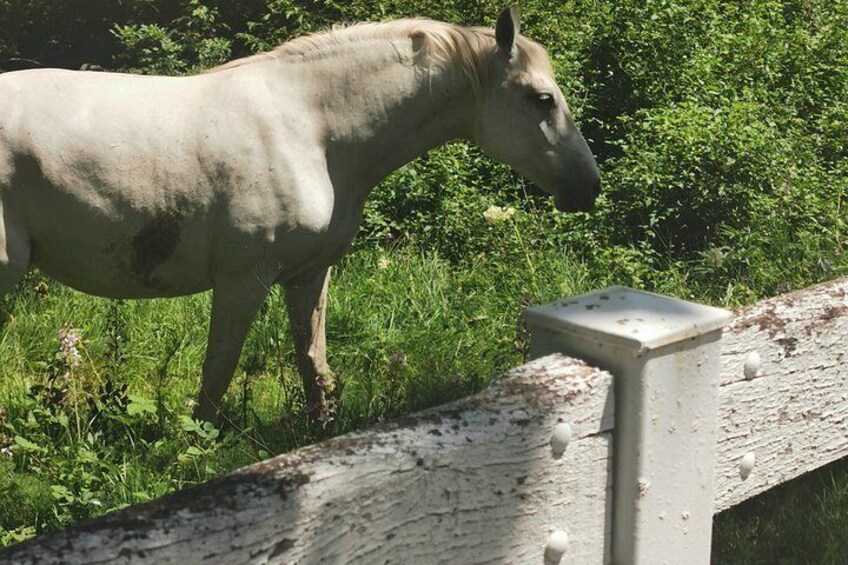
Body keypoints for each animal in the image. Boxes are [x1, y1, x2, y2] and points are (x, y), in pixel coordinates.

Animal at [0, 6, 600, 423]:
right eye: (542, 99)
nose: (588, 188)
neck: (311, 128)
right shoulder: (243, 280)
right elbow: (218, 370)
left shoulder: (309, 275)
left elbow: (314, 362)